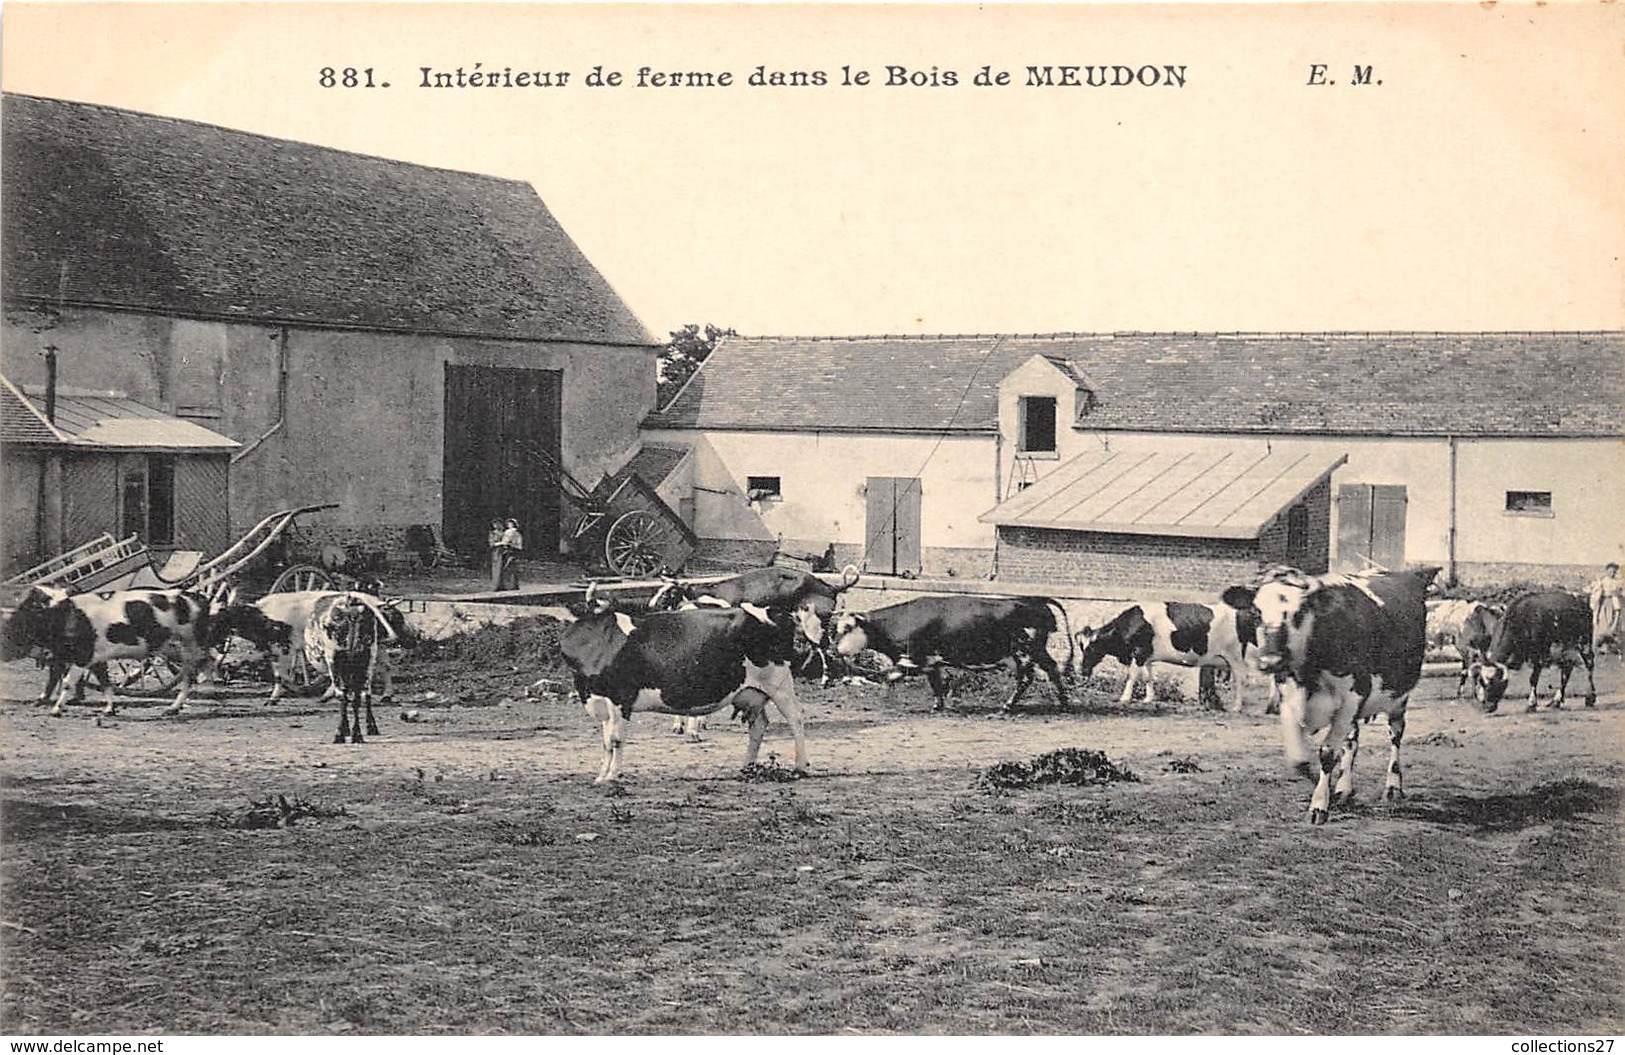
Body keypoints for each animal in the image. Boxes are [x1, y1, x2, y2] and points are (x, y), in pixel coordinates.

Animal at [1, 585, 214, 715]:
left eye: (21, 615)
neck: (67, 613)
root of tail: (196, 596)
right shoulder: (96, 659)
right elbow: (105, 682)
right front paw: (109, 709)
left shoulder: (82, 655)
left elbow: (69, 682)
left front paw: (56, 709)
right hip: (174, 649)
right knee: (201, 667)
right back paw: (177, 706)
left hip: (190, 647)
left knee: (193, 674)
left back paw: (179, 704)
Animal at [562, 601, 809, 780]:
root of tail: (774, 611)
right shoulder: (600, 700)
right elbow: (605, 743)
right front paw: (601, 776)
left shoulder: (620, 698)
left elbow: (615, 740)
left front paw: (613, 775)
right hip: (750, 693)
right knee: (758, 724)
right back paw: (747, 767)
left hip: (780, 683)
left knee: (795, 717)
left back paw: (801, 767)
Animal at [832, 598, 1072, 712]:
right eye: (836, 627)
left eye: (847, 628)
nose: (833, 650)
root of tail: (1036, 601)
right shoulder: (931, 662)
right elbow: (936, 683)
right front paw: (937, 706)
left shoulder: (912, 659)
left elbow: (889, 677)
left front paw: (887, 700)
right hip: (1032, 651)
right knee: (1052, 669)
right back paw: (1063, 703)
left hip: (1024, 652)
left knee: (1026, 678)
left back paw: (1008, 706)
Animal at [1072, 601, 1274, 708]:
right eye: (1081, 647)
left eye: (1091, 648)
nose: (1082, 671)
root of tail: (1246, 613)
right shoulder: (1146, 655)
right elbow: (1148, 677)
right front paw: (1148, 698)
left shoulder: (1139, 652)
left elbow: (1132, 676)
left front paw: (1124, 698)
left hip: (1238, 657)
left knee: (1242, 678)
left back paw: (1237, 706)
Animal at [1222, 568, 1443, 822]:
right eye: (1256, 613)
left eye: (1298, 614)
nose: (1271, 661)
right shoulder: (1288, 700)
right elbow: (1299, 761)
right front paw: (1324, 787)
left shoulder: (1352, 698)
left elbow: (1327, 753)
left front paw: (1319, 804)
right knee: (1351, 742)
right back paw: (1344, 789)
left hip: (1399, 698)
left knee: (1395, 735)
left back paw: (1393, 787)